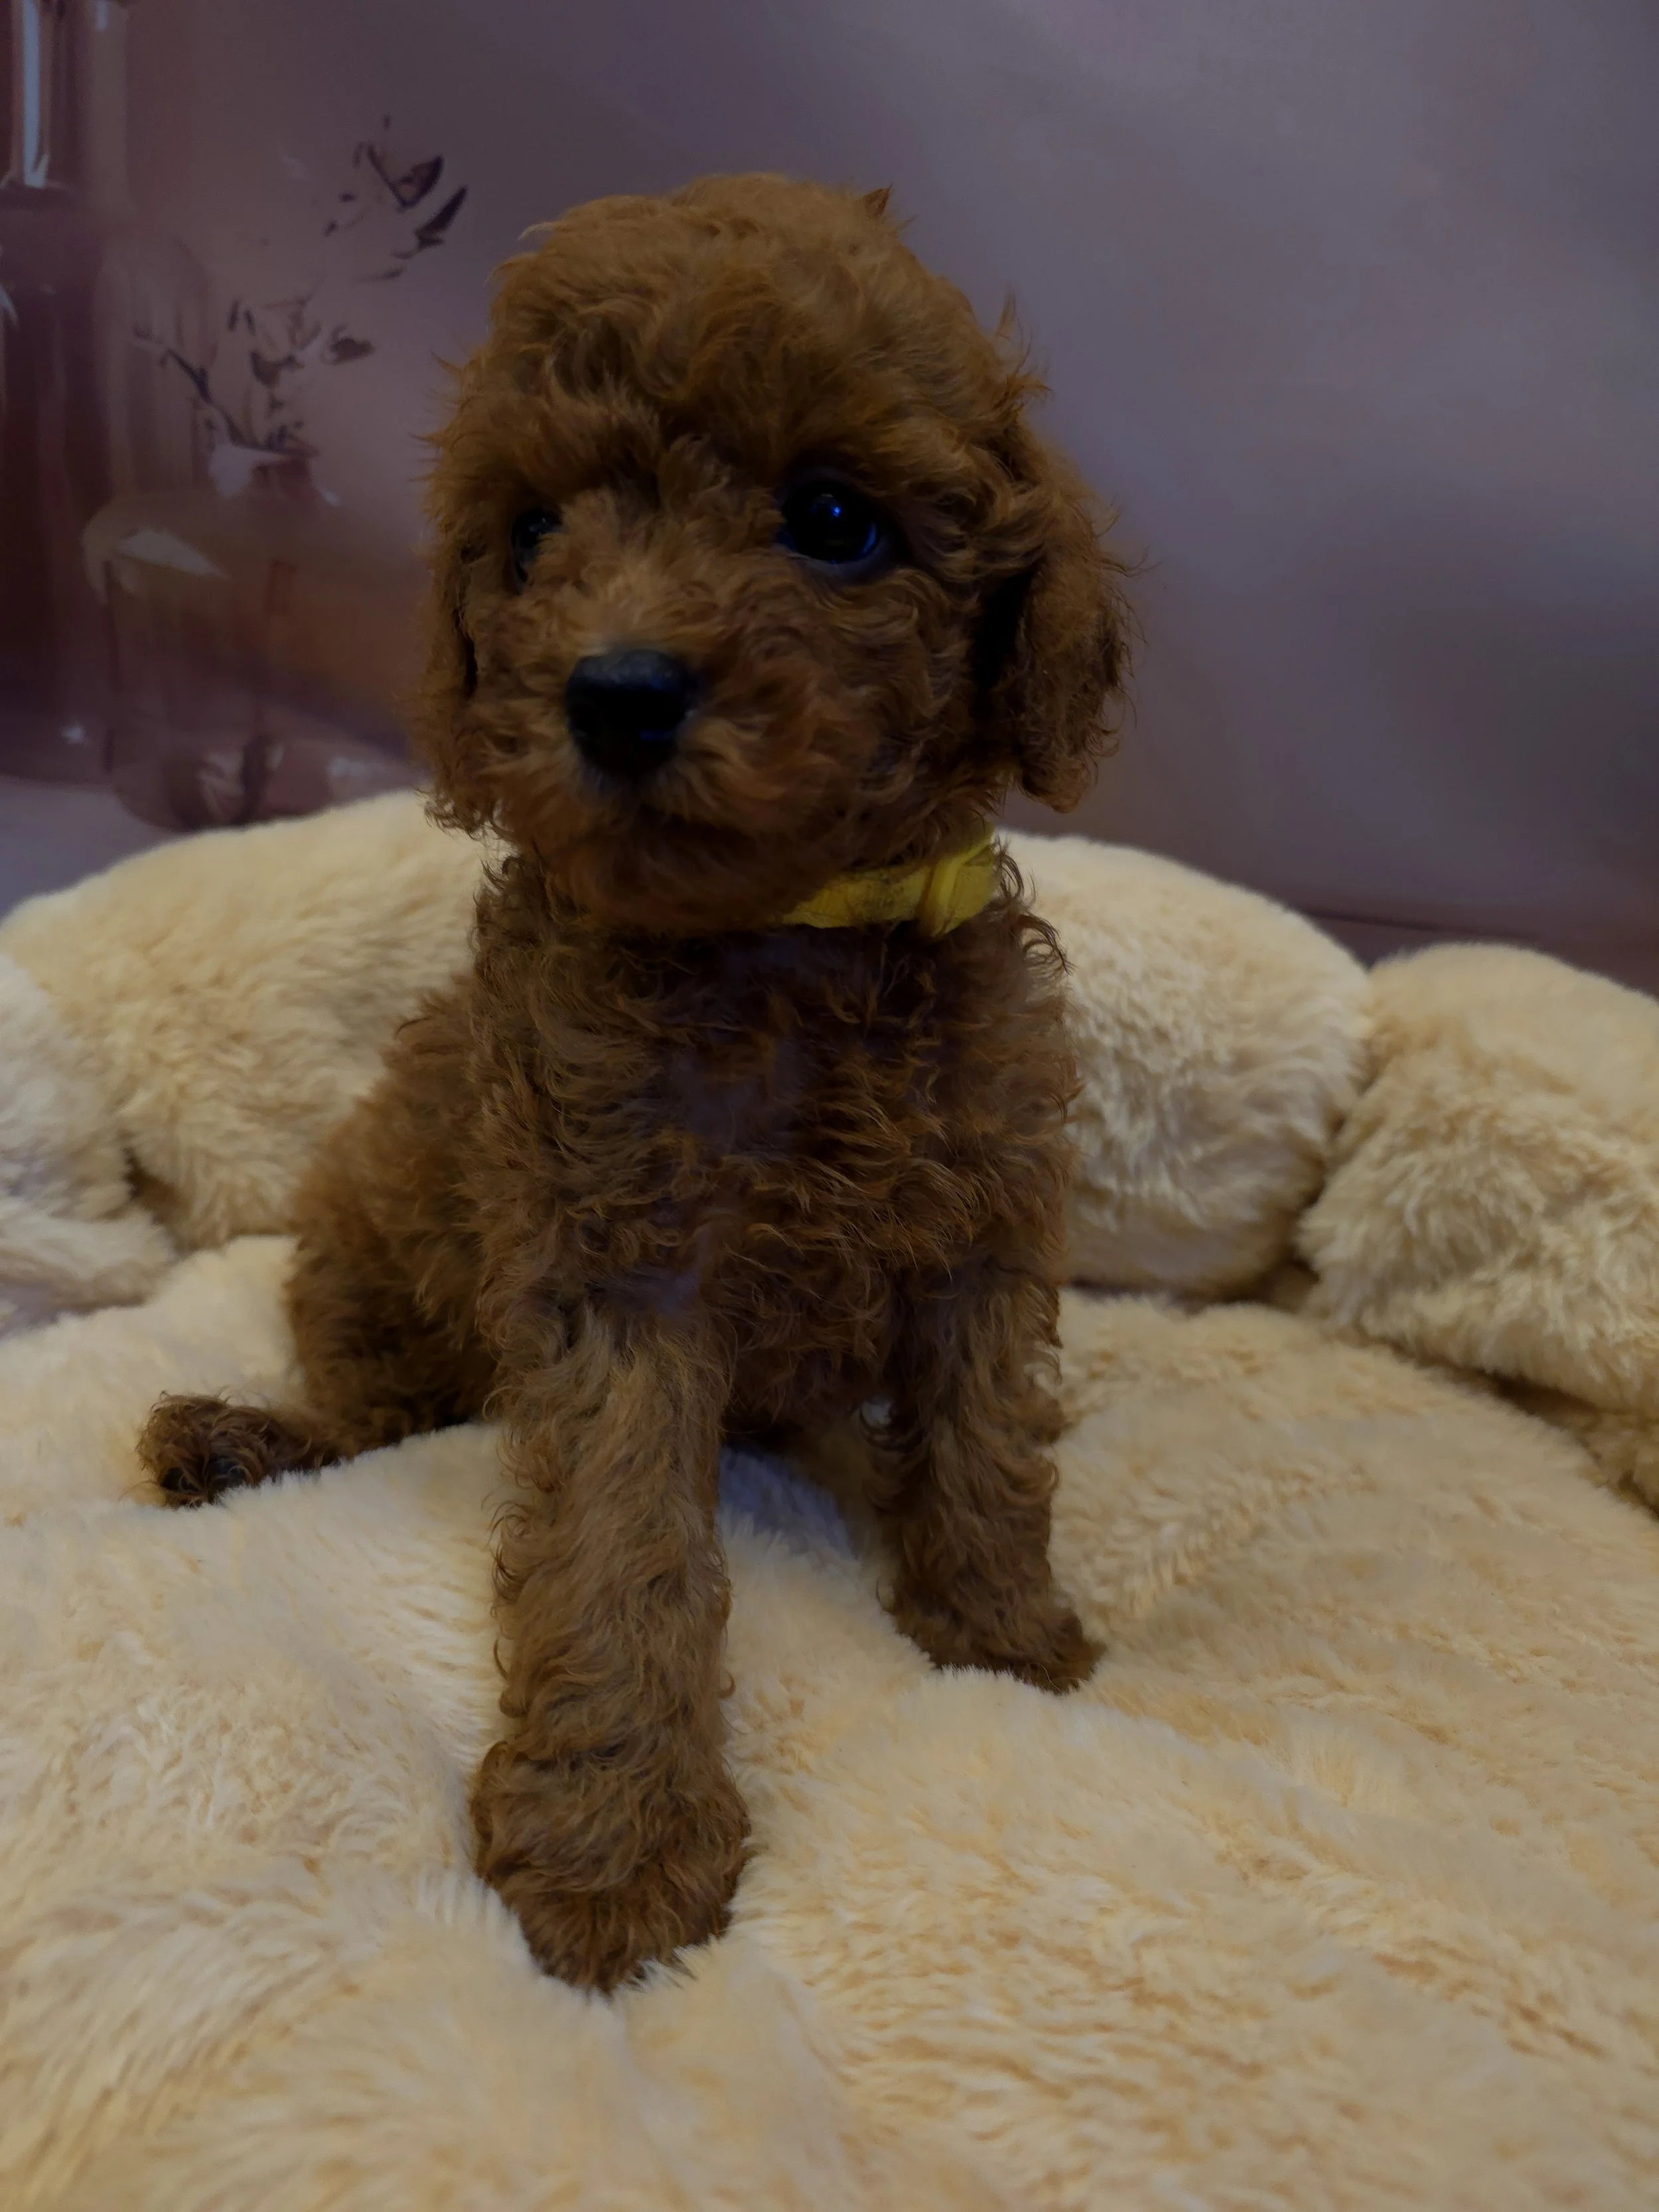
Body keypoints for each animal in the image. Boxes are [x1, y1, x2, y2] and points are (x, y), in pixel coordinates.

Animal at [140, 174, 1132, 1991]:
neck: (782, 933)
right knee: (381, 1411)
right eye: (533, 535)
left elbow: (985, 1434)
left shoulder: (979, 1208)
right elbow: (618, 1543)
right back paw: (241, 1440)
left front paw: (1005, 1636)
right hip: (367, 1246)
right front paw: (615, 1852)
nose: (612, 690)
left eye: (833, 518)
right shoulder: (617, 1262)